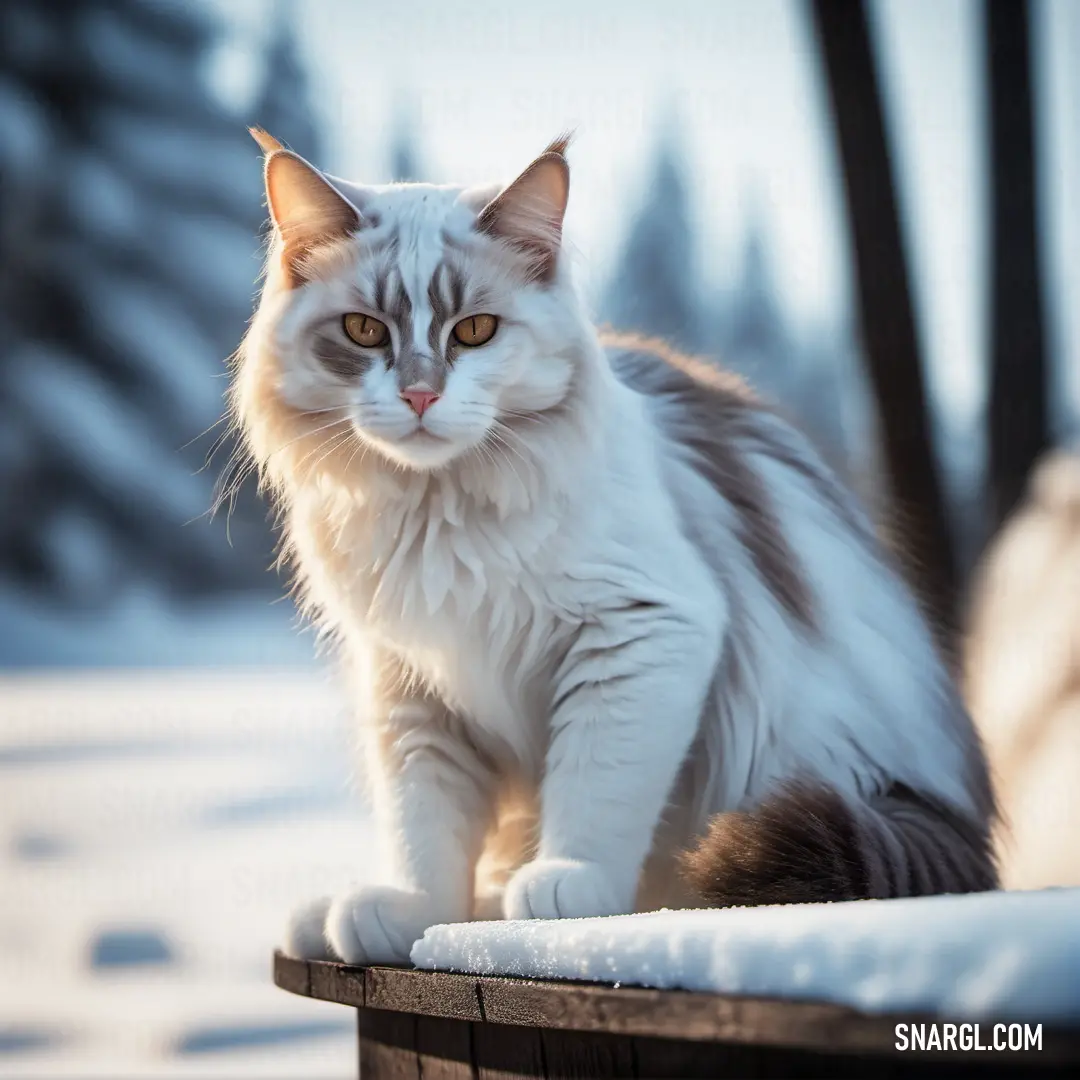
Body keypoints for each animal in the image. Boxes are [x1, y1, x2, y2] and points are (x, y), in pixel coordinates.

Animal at [232, 130, 997, 967]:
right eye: (365, 331)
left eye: (474, 331)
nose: (420, 395)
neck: (441, 511)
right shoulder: (411, 683)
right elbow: (423, 828)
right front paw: (411, 914)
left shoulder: (644, 631)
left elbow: (595, 787)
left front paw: (565, 886)